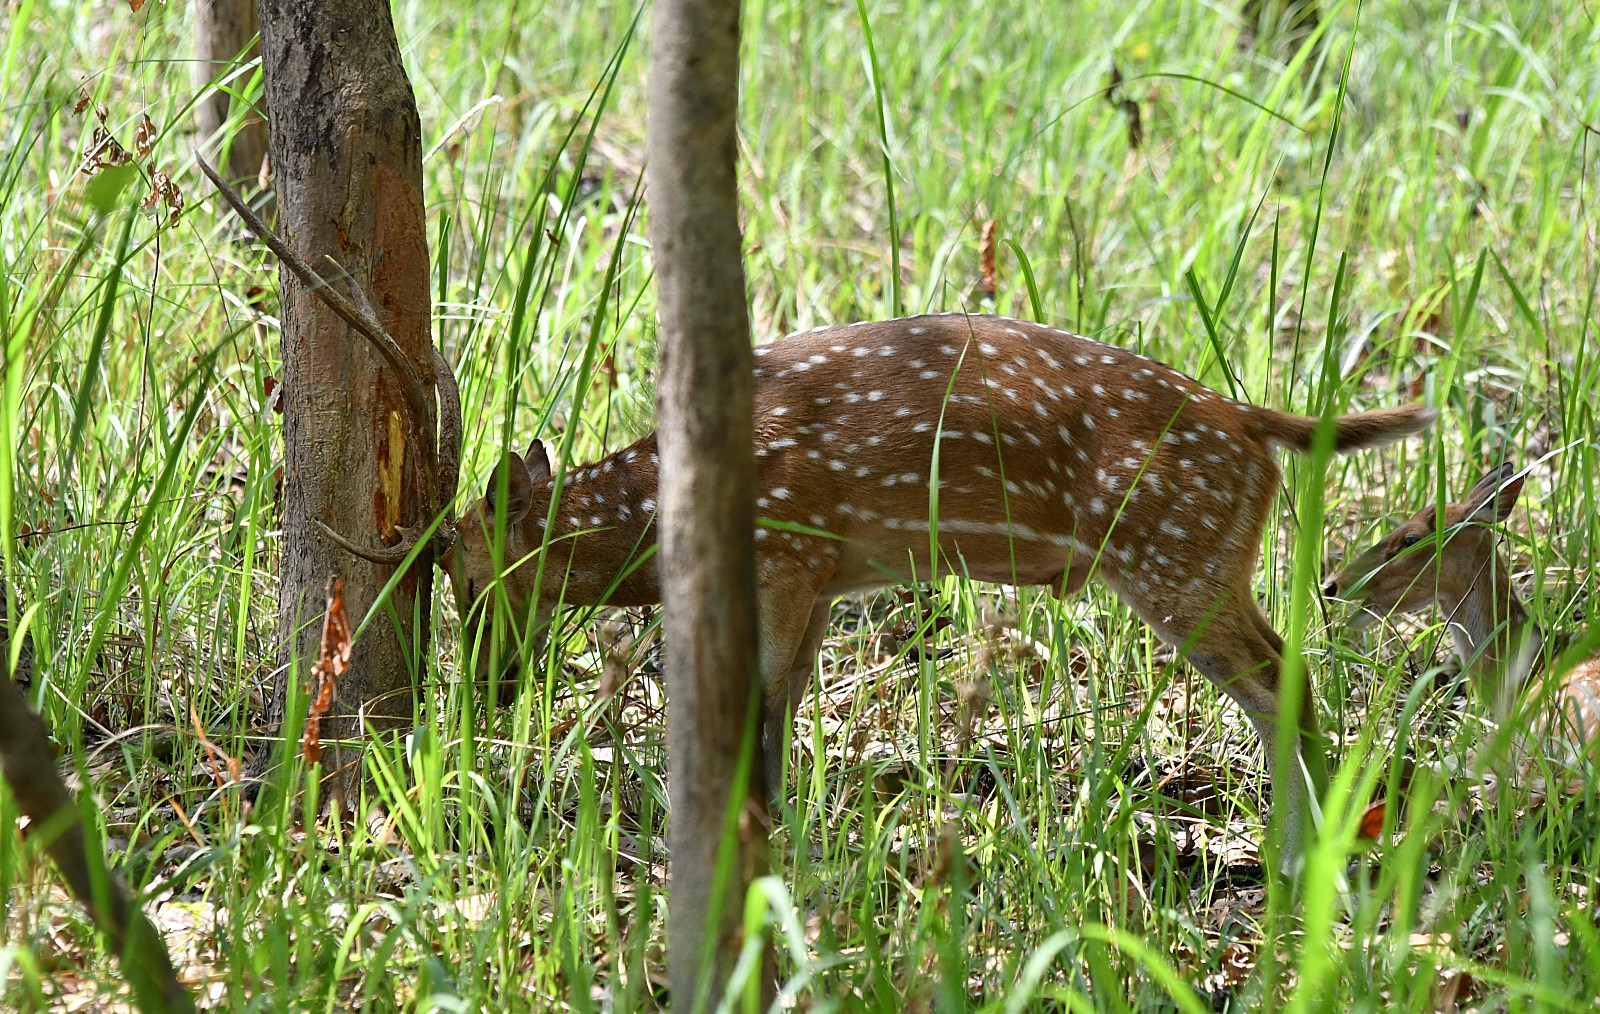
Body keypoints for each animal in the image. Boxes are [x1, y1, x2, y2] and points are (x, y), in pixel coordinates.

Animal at [441, 310, 1440, 863]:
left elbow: (762, 691)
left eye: (463, 574)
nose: (486, 690)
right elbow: (787, 694)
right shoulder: (826, 574)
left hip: (1175, 558)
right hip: (1206, 559)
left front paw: (754, 829)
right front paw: (782, 823)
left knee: (1284, 680)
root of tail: (1252, 420)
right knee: (1286, 672)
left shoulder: (787, 549)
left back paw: (1306, 849)